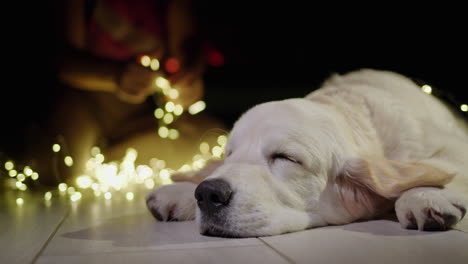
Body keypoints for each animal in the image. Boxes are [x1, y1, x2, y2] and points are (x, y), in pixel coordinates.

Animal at [146, 69, 468, 238]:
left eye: (286, 158)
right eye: (229, 155)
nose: (208, 194)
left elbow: (441, 164)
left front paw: (425, 194)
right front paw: (179, 192)